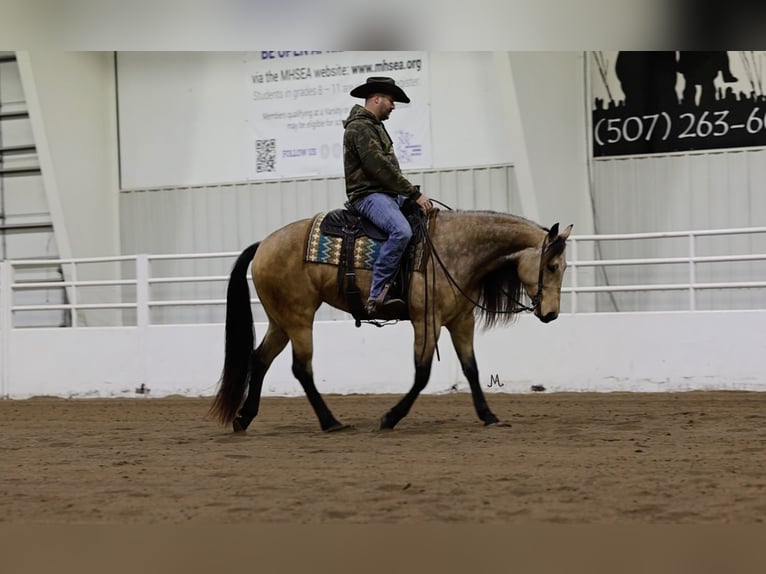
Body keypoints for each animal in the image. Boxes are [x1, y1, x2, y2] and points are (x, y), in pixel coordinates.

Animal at [208, 209, 568, 434]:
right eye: (551, 266)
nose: (551, 314)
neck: (453, 250)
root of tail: (262, 245)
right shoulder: (427, 321)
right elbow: (422, 375)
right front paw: (389, 418)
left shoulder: (460, 321)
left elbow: (471, 369)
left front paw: (489, 415)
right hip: (298, 318)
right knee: (301, 368)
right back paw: (330, 422)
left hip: (280, 320)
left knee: (260, 359)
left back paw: (244, 418)